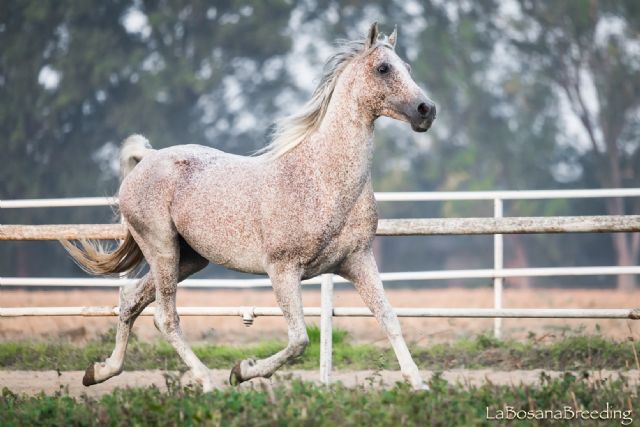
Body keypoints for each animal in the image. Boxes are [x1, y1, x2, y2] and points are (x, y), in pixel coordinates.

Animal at [62, 22, 436, 392]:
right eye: (383, 68)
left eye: (407, 67)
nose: (427, 110)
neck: (322, 178)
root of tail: (147, 159)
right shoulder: (283, 269)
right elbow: (299, 340)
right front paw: (242, 370)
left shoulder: (358, 261)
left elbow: (389, 318)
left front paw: (418, 384)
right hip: (162, 249)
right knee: (164, 317)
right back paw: (207, 382)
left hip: (188, 259)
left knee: (130, 300)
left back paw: (99, 372)